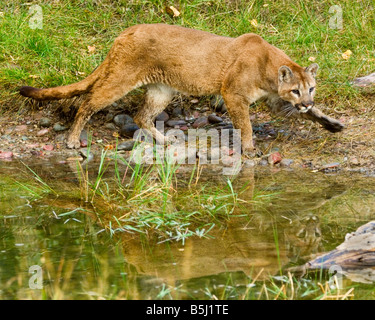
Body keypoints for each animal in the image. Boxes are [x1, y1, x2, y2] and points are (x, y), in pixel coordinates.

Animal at [19, 23, 346, 154]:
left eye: (311, 89)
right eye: (295, 90)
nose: (304, 101)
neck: (269, 66)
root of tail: (124, 32)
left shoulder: (272, 98)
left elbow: (312, 113)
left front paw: (331, 123)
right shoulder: (233, 94)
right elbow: (246, 124)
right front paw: (251, 147)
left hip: (161, 89)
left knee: (141, 116)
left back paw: (164, 141)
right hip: (121, 79)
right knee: (88, 101)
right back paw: (73, 140)